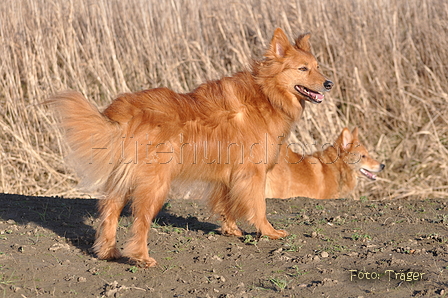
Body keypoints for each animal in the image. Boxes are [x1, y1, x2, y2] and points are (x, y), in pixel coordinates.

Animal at [51, 27, 332, 266]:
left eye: (318, 67)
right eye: (303, 68)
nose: (329, 83)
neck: (267, 93)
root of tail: (128, 112)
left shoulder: (229, 175)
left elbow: (227, 205)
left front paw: (231, 230)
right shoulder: (252, 173)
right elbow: (258, 207)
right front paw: (269, 232)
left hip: (124, 179)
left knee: (110, 212)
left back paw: (108, 251)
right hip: (156, 184)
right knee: (140, 221)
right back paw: (142, 257)